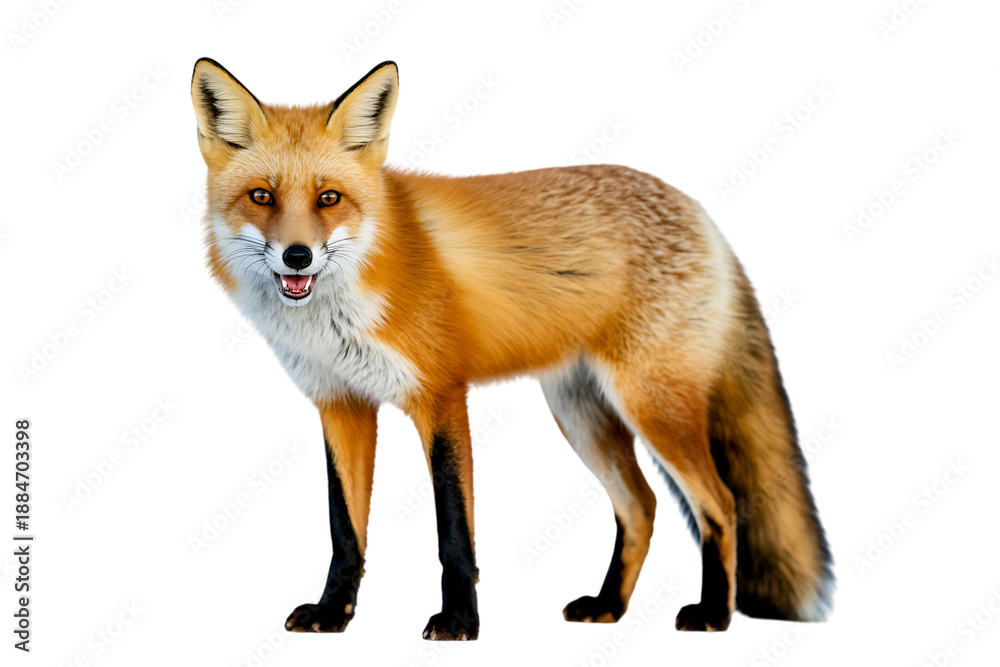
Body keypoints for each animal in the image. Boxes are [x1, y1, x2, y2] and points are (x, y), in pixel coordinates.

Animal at [189, 58, 833, 640]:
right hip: (581, 415)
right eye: (261, 196)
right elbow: (344, 529)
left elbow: (455, 532)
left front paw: (459, 623)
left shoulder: (440, 396)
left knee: (721, 505)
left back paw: (715, 616)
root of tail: (699, 213)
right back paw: (609, 607)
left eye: (328, 198)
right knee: (643, 506)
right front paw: (334, 615)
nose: (297, 256)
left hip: (651, 406)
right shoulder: (340, 403)